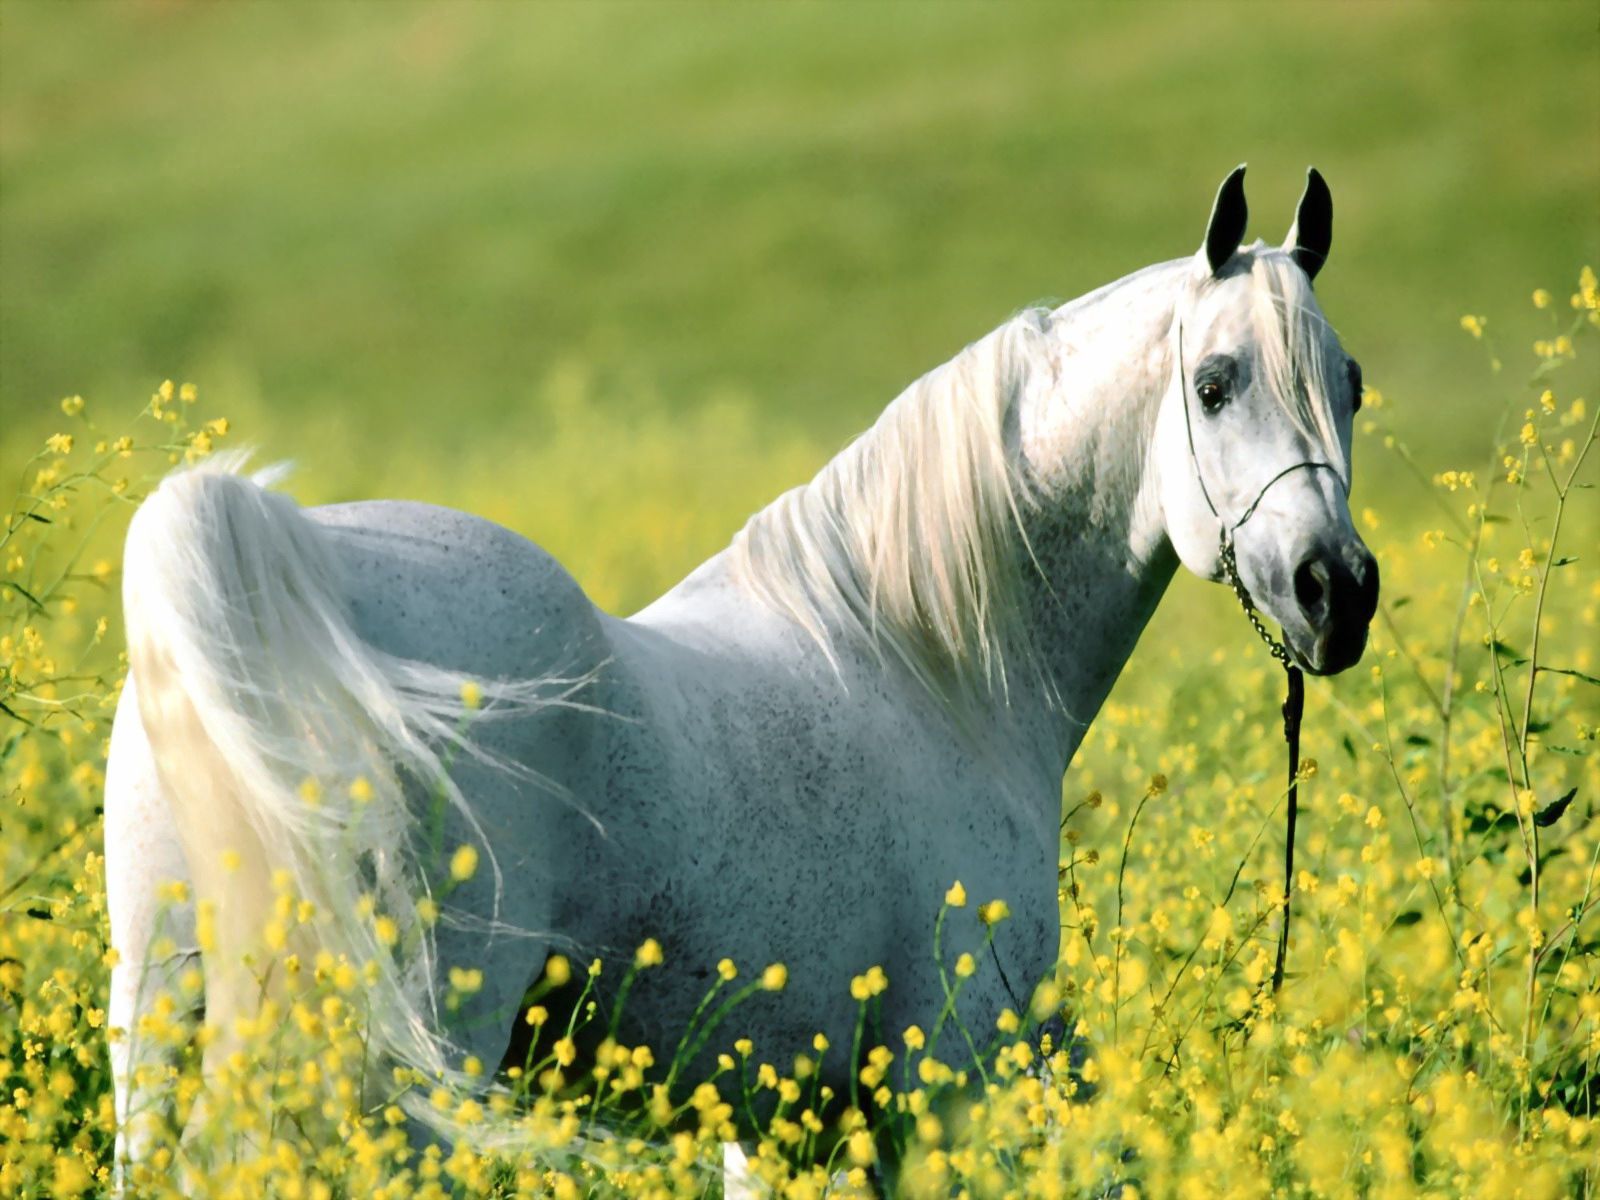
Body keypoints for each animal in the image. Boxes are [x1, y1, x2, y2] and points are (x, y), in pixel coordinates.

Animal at [103, 164, 1376, 1190]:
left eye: (1351, 385)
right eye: (1212, 383)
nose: (1338, 591)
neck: (927, 666)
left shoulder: (774, 1129)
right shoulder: (941, 1086)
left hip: (161, 1029)